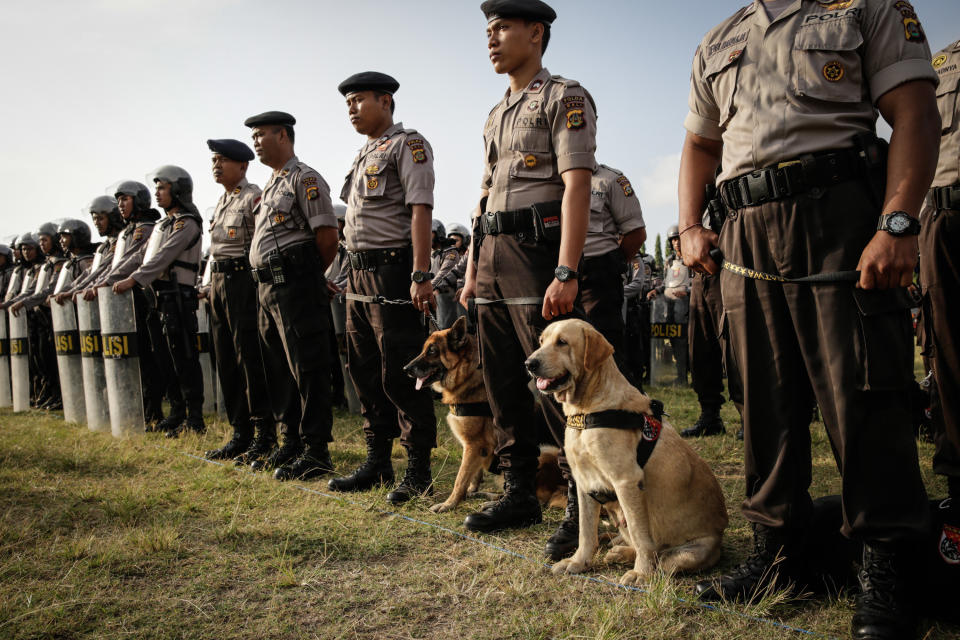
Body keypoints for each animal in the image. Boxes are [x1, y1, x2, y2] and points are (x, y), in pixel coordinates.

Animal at [524, 320, 728, 584]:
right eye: (541, 341)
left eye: (562, 342)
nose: (529, 364)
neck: (587, 410)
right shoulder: (585, 483)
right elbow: (586, 532)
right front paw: (578, 562)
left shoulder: (626, 481)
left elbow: (642, 536)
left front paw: (641, 573)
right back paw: (619, 550)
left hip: (693, 550)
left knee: (663, 557)